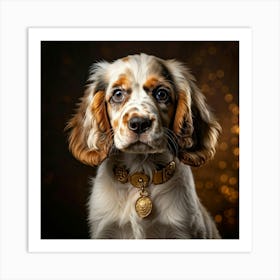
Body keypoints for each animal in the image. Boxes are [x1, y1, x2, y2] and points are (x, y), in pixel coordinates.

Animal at [66, 53, 222, 238]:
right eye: (118, 94)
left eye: (161, 94)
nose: (139, 123)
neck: (141, 172)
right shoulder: (106, 230)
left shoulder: (182, 230)